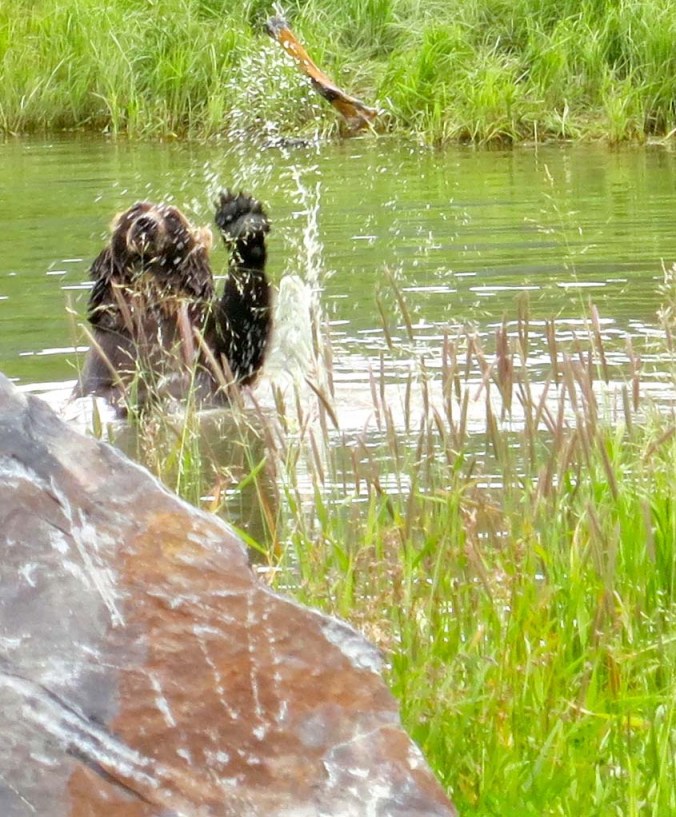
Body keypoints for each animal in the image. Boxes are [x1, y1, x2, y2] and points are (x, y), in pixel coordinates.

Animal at [73, 192, 272, 412]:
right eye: (135, 210)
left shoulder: (203, 333)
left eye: (172, 217)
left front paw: (240, 218)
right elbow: (108, 387)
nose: (146, 223)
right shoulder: (111, 347)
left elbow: (240, 346)